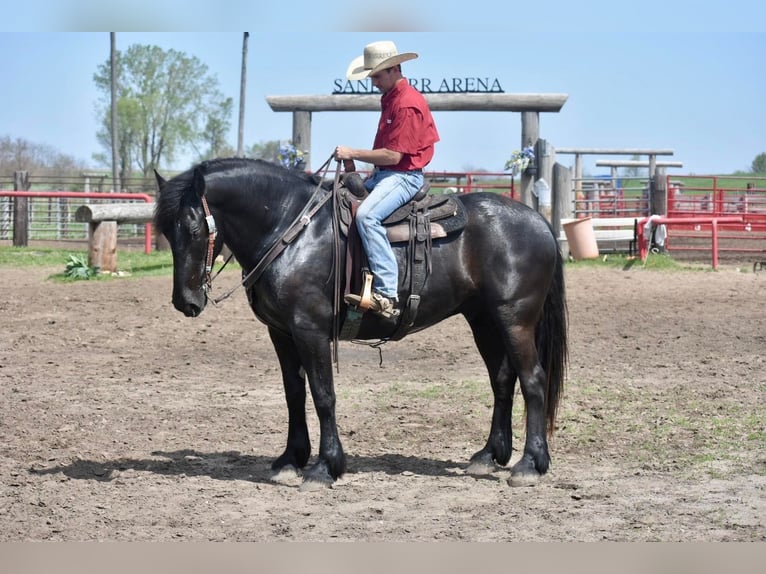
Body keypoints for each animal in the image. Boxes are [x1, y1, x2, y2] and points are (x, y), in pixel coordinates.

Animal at [153, 158, 568, 490]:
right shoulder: (281, 333)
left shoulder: (310, 330)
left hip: (514, 319)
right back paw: (489, 455)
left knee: (532, 380)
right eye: (165, 231)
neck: (289, 228)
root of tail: (538, 220)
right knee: (502, 379)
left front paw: (325, 467)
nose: (185, 301)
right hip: (483, 319)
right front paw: (291, 459)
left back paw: (530, 464)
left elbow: (323, 395)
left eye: (194, 229)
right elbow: (294, 393)